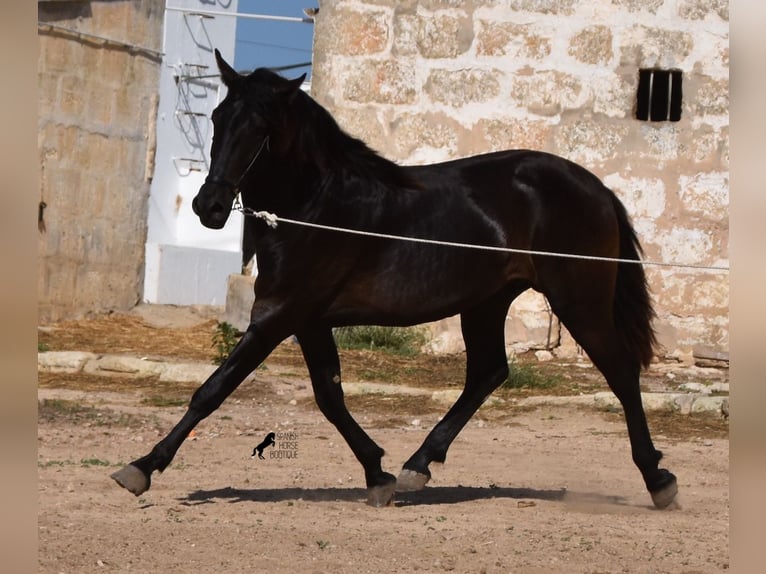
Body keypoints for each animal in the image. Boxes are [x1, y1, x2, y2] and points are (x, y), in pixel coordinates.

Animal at [112, 49, 680, 508]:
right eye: (218, 117)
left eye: (262, 128)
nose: (207, 206)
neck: (317, 208)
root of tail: (595, 187)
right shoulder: (309, 321)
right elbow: (330, 398)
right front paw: (378, 474)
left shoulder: (278, 316)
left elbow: (213, 389)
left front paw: (141, 468)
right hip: (487, 301)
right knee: (488, 373)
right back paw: (417, 466)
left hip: (577, 298)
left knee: (620, 371)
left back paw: (659, 480)